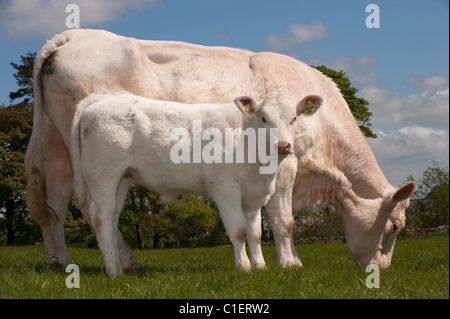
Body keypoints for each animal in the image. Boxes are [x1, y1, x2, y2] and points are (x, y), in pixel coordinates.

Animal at [70, 91, 322, 276]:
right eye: (264, 118)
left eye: (294, 118)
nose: (283, 145)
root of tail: (102, 99)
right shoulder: (226, 189)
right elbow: (239, 231)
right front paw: (244, 268)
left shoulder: (252, 196)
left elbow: (255, 233)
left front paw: (260, 267)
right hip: (104, 174)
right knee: (102, 217)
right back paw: (114, 271)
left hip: (123, 177)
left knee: (112, 216)